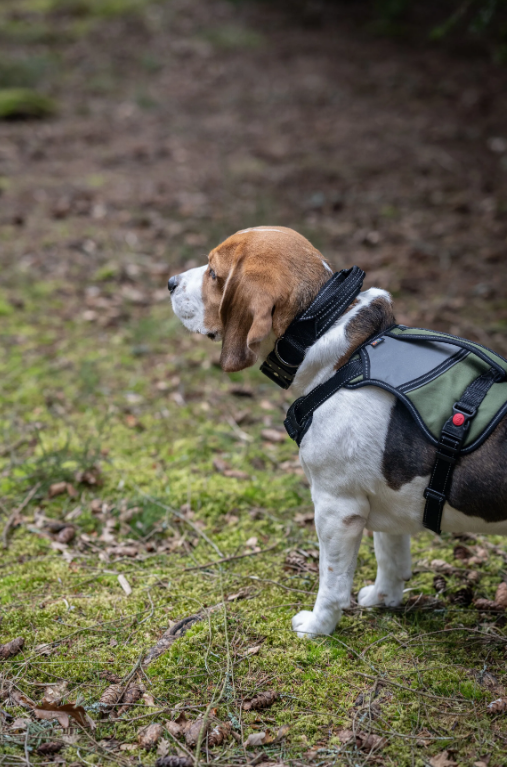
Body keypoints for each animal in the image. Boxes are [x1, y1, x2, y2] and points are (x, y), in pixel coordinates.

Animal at [168, 225, 507, 640]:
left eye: (214, 273)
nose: (170, 282)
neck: (332, 341)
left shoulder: (336, 508)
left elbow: (331, 581)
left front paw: (318, 627)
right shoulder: (389, 498)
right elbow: (391, 555)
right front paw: (384, 598)